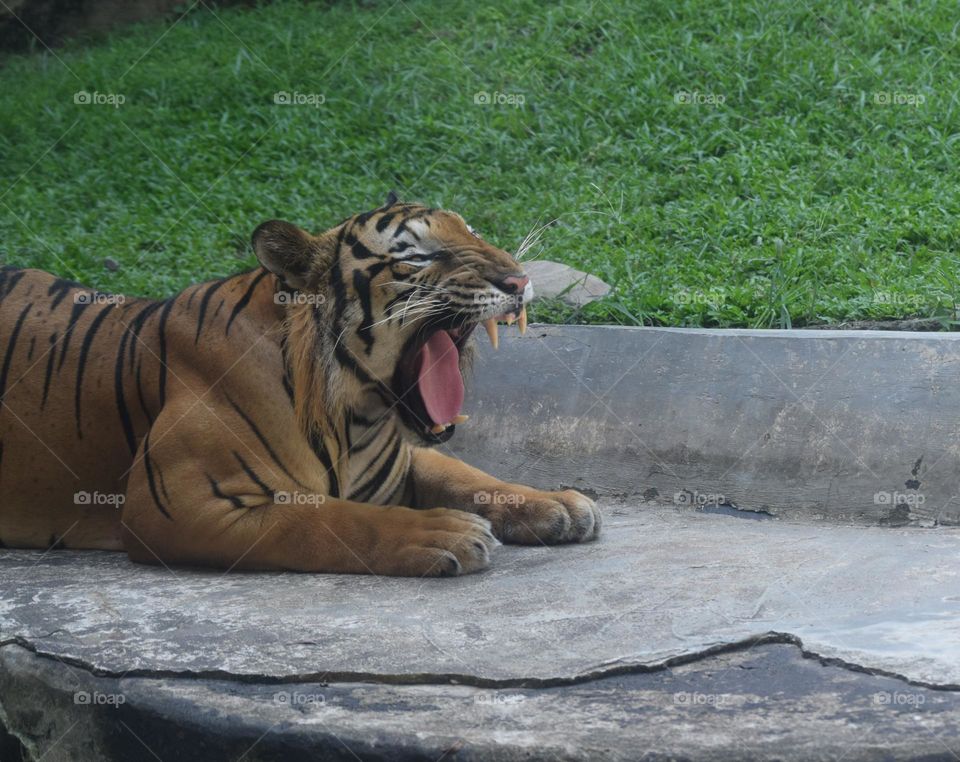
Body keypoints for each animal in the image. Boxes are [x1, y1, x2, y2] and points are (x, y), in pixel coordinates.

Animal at [0, 195, 600, 576]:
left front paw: (559, 503)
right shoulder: (173, 505)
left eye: (471, 231)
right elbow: (326, 519)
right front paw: (441, 532)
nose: (519, 280)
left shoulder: (408, 458)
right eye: (418, 254)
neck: (359, 414)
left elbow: (464, 473)